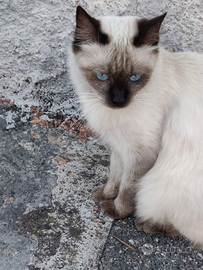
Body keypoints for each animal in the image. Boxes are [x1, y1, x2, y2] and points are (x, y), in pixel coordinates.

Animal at [68, 5, 203, 246]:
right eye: (102, 76)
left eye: (135, 78)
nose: (119, 101)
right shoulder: (119, 145)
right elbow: (115, 175)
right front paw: (105, 194)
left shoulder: (141, 153)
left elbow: (127, 187)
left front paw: (116, 210)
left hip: (161, 187)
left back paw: (146, 224)